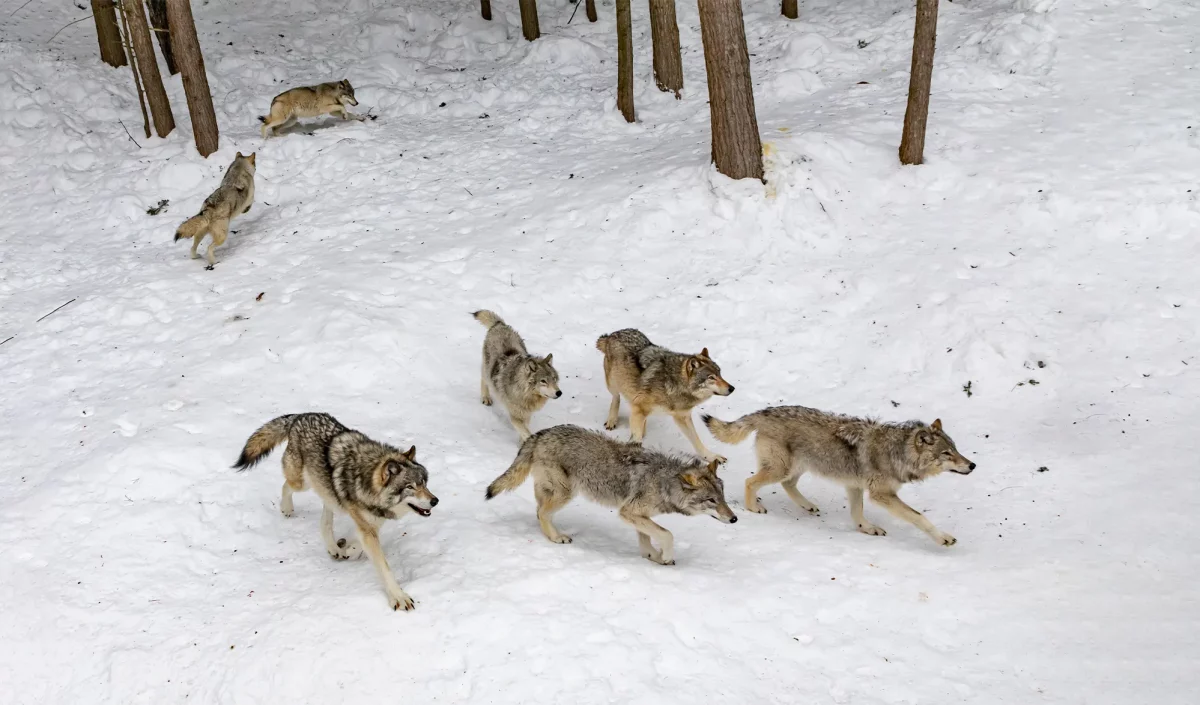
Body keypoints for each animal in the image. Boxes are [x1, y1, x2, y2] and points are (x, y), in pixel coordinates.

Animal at [234, 412, 441, 611]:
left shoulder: (371, 524)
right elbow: (384, 567)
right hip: (302, 483)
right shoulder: (367, 527)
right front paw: (398, 597)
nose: (435, 500)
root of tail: (300, 416)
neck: (366, 481)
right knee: (286, 486)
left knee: (324, 521)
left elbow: (359, 543)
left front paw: (348, 549)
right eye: (410, 487)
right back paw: (287, 509)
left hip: (329, 495)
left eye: (424, 483)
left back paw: (334, 548)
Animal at [470, 309, 559, 438]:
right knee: (484, 379)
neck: (525, 394)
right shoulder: (515, 417)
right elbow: (526, 432)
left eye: (554, 379)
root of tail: (500, 325)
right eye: (543, 381)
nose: (559, 393)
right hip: (487, 370)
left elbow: (524, 430)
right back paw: (486, 398)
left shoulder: (526, 415)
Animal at [482, 424, 734, 568]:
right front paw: (664, 555)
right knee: (542, 512)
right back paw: (556, 537)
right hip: (566, 493)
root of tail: (540, 433)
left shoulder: (636, 515)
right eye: (711, 500)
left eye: (723, 497)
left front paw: (653, 556)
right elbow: (667, 534)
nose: (734, 519)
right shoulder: (628, 512)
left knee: (538, 511)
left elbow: (648, 539)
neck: (664, 482)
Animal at [597, 328, 734, 462]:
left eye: (720, 373)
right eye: (711, 377)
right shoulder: (639, 408)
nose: (732, 388)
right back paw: (612, 421)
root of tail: (613, 334)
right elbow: (636, 438)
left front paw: (711, 457)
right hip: (613, 384)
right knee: (616, 398)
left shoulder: (682, 417)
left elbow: (696, 441)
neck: (673, 384)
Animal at [700, 405, 974, 549]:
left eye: (956, 449)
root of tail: (764, 411)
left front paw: (867, 529)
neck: (897, 452)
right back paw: (753, 507)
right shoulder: (881, 495)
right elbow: (919, 517)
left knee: (788, 485)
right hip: (781, 468)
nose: (972, 465)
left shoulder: (855, 486)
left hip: (798, 467)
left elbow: (857, 513)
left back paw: (808, 506)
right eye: (947, 453)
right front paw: (943, 538)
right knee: (751, 482)